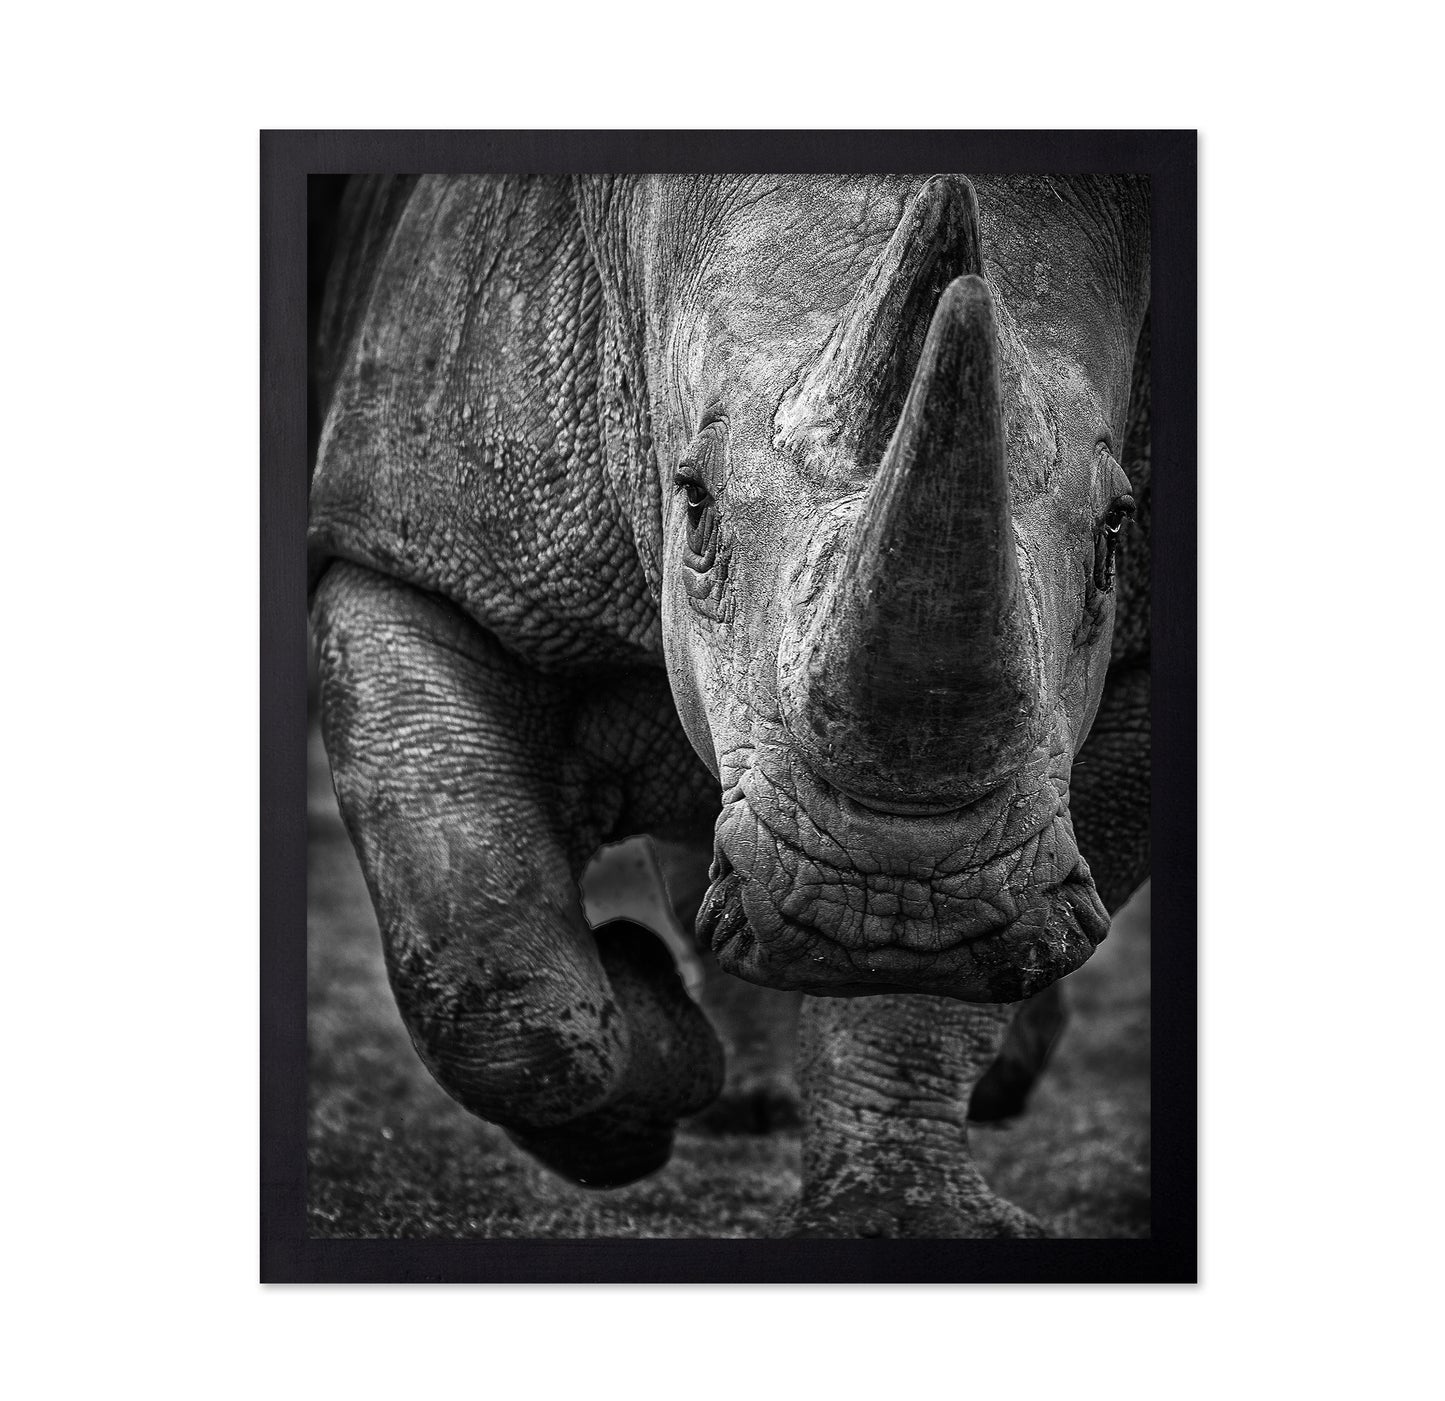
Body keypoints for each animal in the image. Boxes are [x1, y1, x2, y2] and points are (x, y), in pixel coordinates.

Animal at [309, 172, 1151, 1238]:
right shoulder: (409, 546)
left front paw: (900, 1217)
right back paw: (730, 1091)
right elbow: (490, 969)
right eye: (695, 505)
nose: (892, 897)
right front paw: (652, 1038)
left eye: (1117, 532)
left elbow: (924, 999)